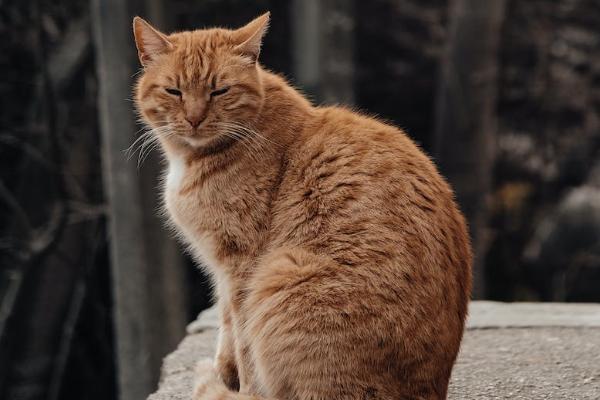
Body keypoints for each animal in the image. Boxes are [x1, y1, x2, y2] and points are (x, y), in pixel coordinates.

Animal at [134, 12, 472, 400]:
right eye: (174, 91)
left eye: (220, 91)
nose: (193, 118)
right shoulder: (220, 269)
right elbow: (226, 325)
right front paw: (225, 371)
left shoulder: (239, 265)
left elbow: (243, 343)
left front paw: (243, 390)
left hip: (280, 274)